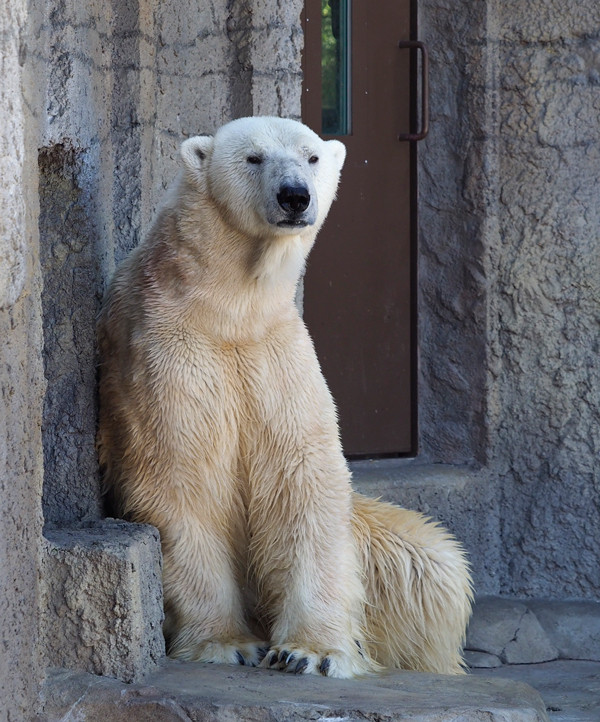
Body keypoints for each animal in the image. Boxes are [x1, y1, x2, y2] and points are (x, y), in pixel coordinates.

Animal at [98, 116, 474, 676]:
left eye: (311, 156)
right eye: (253, 157)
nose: (295, 195)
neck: (229, 307)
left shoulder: (277, 355)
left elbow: (301, 476)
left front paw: (310, 652)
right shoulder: (165, 354)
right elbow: (183, 475)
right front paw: (228, 642)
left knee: (433, 565)